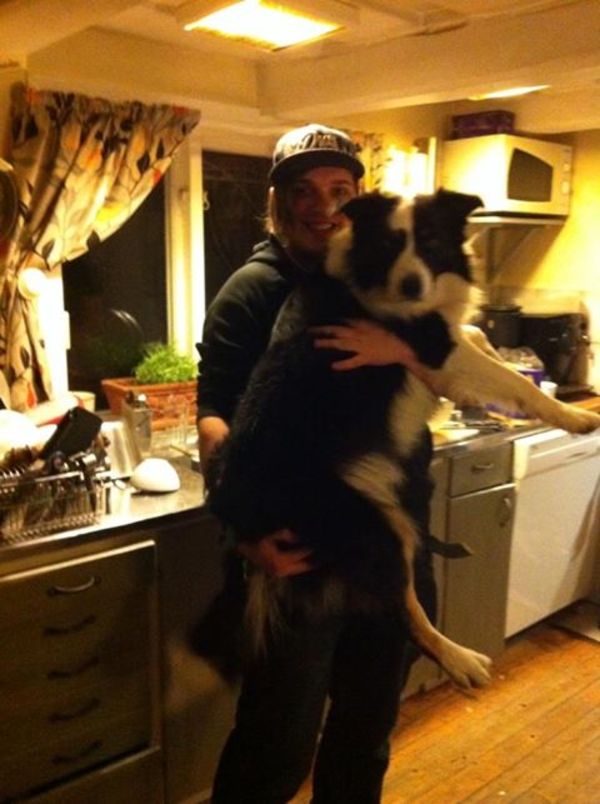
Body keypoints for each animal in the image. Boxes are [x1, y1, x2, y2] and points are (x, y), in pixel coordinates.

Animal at [206, 189, 600, 690]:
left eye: (430, 242)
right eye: (390, 245)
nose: (413, 286)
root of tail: (242, 512)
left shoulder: (442, 340)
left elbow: (476, 334)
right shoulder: (431, 349)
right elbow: (510, 379)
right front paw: (574, 415)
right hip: (379, 526)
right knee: (401, 610)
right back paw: (461, 661)